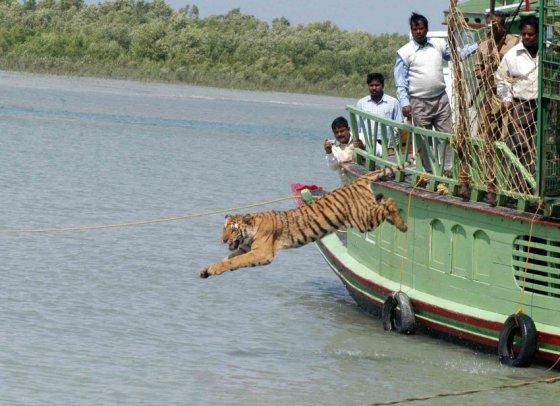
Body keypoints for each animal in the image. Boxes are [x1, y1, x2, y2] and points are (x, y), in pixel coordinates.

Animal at [199, 156, 414, 280]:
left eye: (233, 229)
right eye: (224, 228)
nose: (223, 240)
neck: (250, 230)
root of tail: (358, 180)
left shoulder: (262, 253)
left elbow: (234, 261)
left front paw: (214, 269)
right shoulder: (244, 248)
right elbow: (228, 258)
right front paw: (207, 270)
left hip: (362, 220)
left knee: (390, 202)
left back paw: (403, 225)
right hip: (366, 212)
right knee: (383, 201)